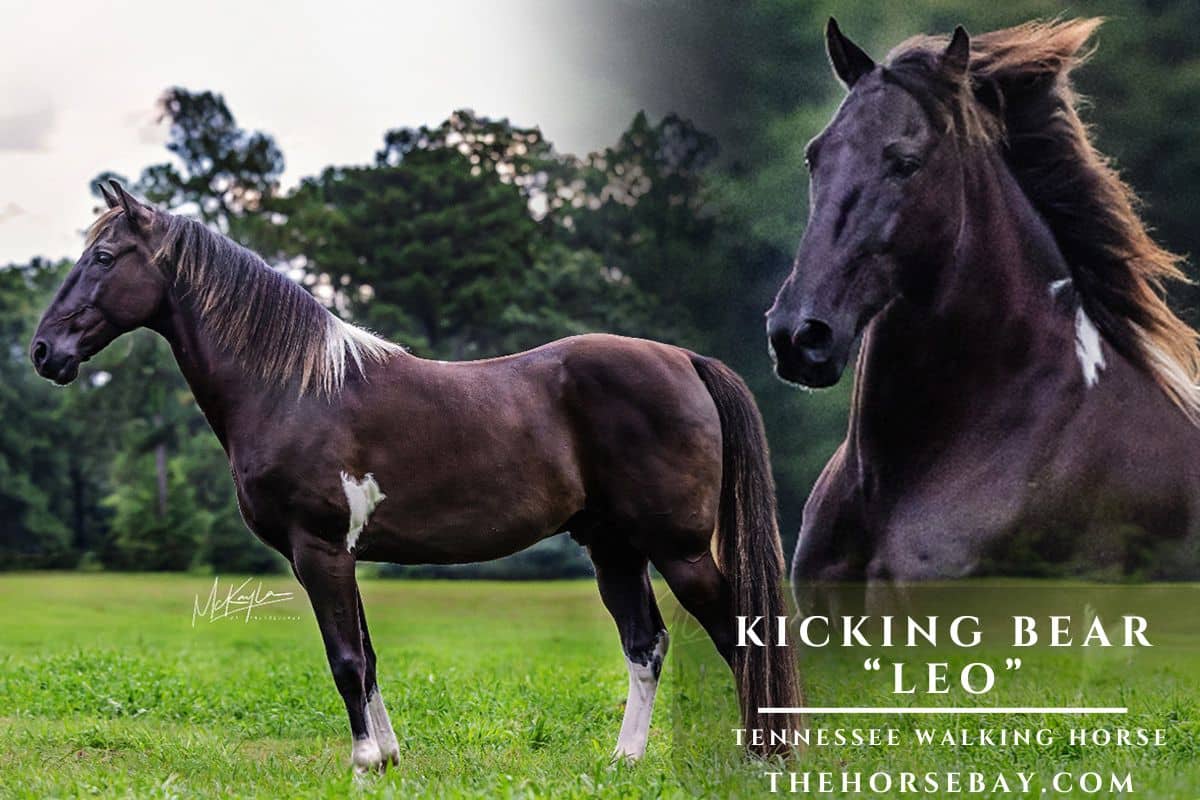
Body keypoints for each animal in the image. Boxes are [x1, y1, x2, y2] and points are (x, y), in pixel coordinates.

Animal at [30, 182, 800, 770]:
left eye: (104, 256)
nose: (43, 350)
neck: (295, 388)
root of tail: (684, 359)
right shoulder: (337, 555)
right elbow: (367, 657)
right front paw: (390, 758)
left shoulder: (319, 549)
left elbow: (345, 659)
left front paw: (364, 762)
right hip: (615, 548)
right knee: (646, 645)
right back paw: (627, 759)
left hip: (678, 549)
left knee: (738, 633)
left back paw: (763, 755)